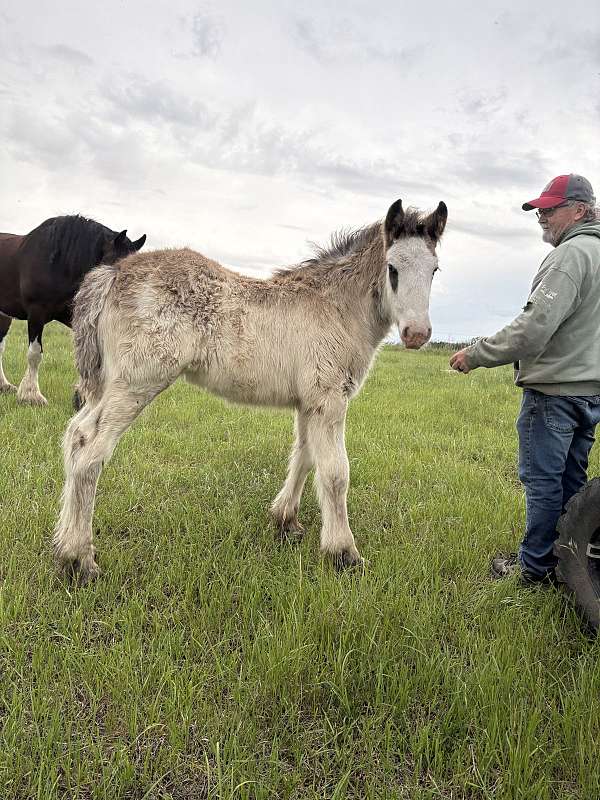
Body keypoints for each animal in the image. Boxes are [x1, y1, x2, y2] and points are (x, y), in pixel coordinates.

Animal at [0, 216, 146, 405]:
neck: (58, 263)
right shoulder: (36, 313)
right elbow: (34, 354)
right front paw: (31, 395)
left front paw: (82, 397)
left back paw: (3, 385)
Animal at [53, 198, 447, 583]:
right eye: (393, 268)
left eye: (434, 270)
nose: (417, 334)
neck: (334, 309)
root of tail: (111, 274)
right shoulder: (329, 400)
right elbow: (336, 473)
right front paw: (344, 553)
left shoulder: (308, 404)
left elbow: (304, 457)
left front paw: (285, 521)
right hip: (136, 384)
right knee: (90, 455)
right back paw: (81, 561)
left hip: (108, 385)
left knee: (75, 436)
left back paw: (63, 547)